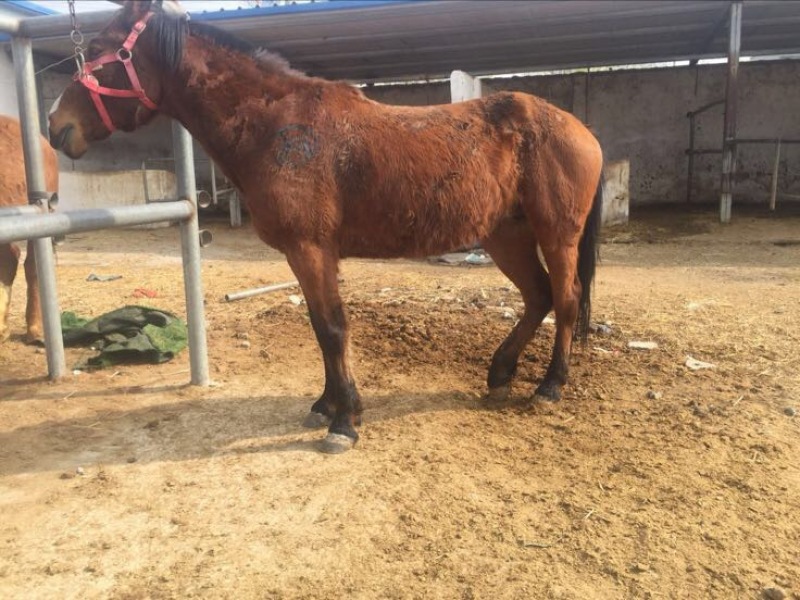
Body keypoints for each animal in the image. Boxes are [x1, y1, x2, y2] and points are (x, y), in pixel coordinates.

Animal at [48, 0, 604, 454]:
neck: (278, 128)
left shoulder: (310, 249)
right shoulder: (307, 254)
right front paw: (327, 404)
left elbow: (332, 329)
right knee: (538, 297)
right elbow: (321, 330)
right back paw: (500, 373)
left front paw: (345, 421)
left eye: (96, 49)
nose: (56, 126)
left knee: (566, 298)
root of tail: (578, 128)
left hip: (557, 234)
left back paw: (550, 385)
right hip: (505, 235)